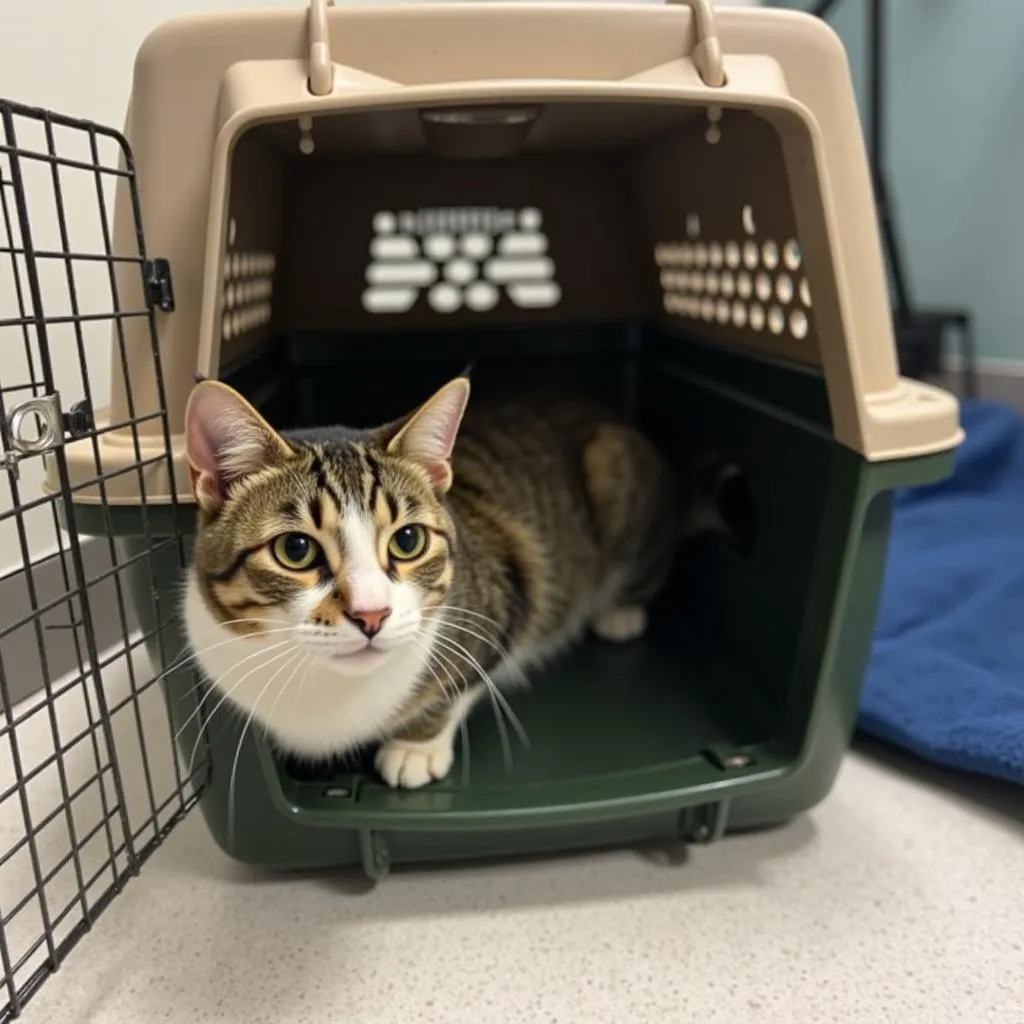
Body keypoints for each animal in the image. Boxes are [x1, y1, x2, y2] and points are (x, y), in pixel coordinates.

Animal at [180, 376, 716, 790]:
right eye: (296, 550)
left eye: (408, 540)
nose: (372, 614)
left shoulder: (500, 605)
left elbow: (458, 686)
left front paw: (415, 749)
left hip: (615, 470)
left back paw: (620, 612)